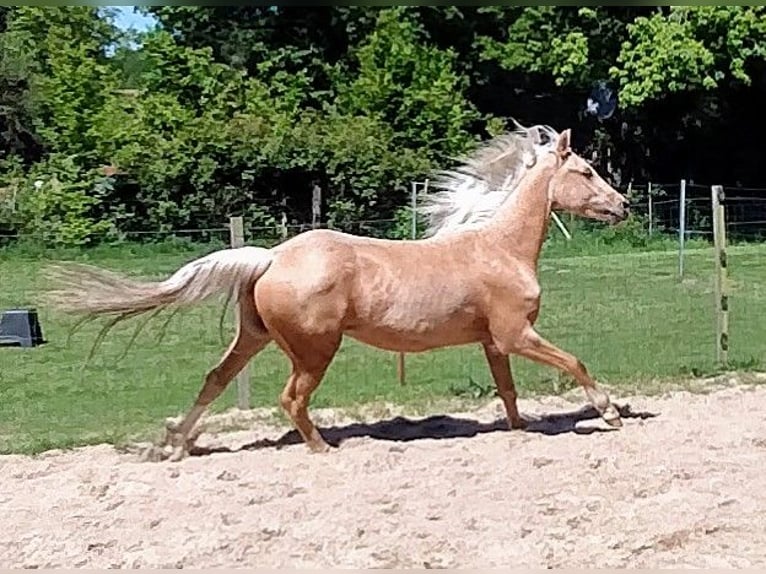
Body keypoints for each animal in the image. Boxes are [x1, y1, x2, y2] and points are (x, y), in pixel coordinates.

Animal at [48, 125, 632, 464]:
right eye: (586, 171)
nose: (623, 205)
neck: (499, 248)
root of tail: (271, 257)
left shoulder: (494, 342)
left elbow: (508, 392)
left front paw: (518, 431)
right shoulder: (516, 333)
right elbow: (574, 362)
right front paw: (609, 414)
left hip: (254, 338)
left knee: (215, 379)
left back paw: (174, 445)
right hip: (314, 350)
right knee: (291, 398)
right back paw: (322, 447)